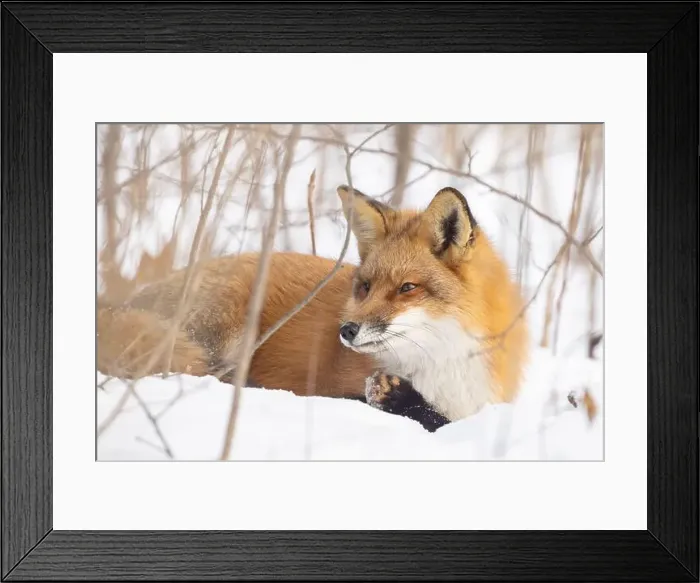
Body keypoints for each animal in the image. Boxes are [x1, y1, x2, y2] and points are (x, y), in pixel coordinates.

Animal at [96, 185, 529, 431]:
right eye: (365, 287)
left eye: (407, 288)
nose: (347, 330)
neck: (444, 364)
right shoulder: (335, 387)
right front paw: (400, 399)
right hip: (226, 330)